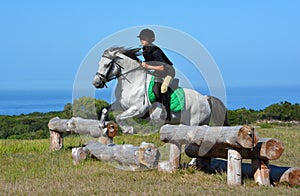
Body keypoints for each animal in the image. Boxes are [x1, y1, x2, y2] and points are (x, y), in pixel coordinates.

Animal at [92, 46, 229, 134]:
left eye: (107, 65)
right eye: (98, 64)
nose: (96, 83)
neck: (133, 82)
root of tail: (205, 98)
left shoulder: (138, 109)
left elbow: (120, 117)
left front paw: (128, 130)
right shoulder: (121, 104)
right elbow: (105, 109)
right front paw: (102, 126)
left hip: (193, 122)